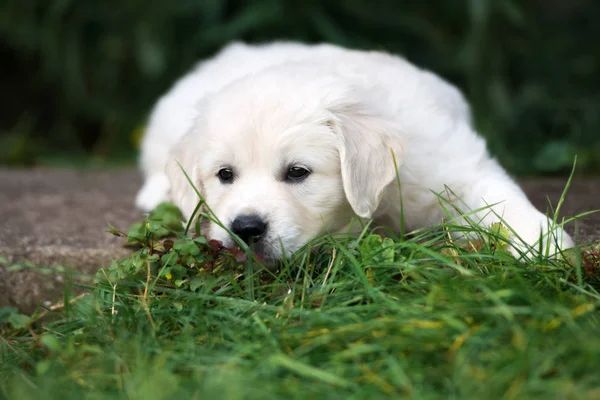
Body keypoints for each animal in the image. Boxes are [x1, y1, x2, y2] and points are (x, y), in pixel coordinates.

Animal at [135, 40, 572, 260]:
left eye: (297, 172)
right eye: (225, 175)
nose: (245, 229)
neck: (380, 201)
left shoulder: (456, 167)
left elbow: (502, 200)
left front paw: (546, 246)